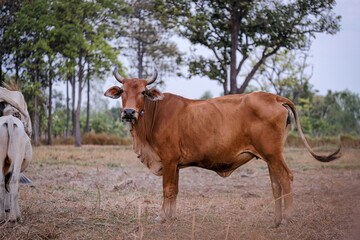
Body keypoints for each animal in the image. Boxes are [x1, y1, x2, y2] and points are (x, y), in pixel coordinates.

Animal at [104, 68, 340, 227]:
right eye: (123, 90)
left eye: (143, 92)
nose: (129, 112)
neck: (154, 115)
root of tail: (273, 96)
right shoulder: (176, 164)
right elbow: (175, 191)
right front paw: (171, 216)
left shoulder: (169, 159)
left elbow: (167, 190)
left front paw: (162, 217)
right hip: (270, 156)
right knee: (276, 184)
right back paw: (276, 220)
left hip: (273, 154)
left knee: (286, 178)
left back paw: (287, 219)